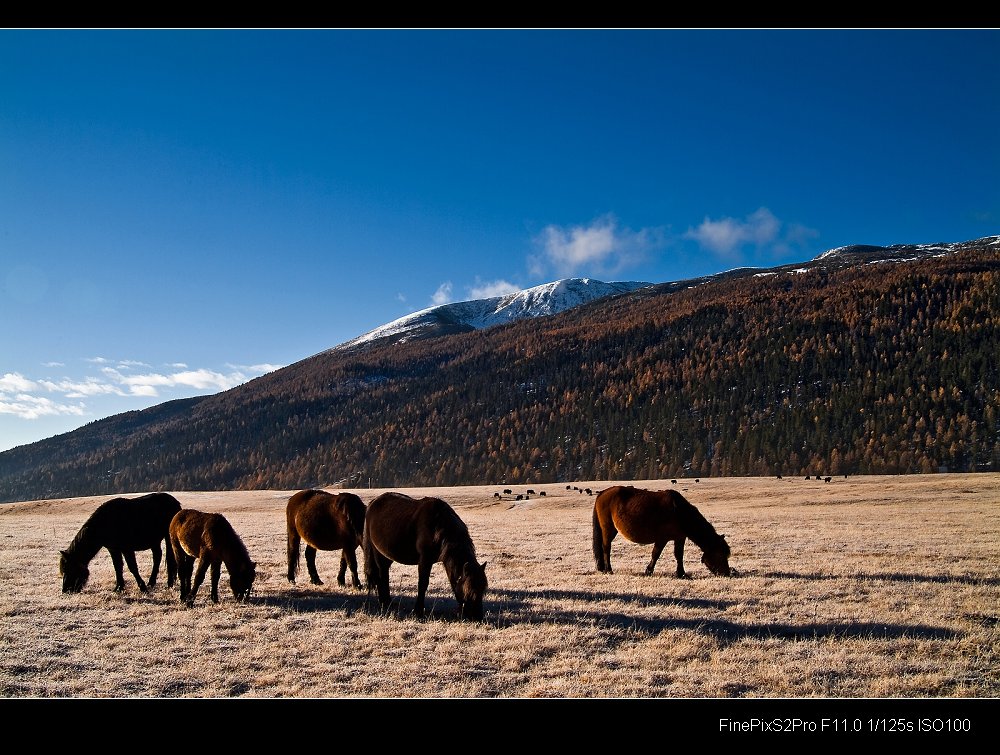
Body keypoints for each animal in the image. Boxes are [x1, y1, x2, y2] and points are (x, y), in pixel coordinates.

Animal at [366, 494, 490, 624]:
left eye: (483, 590)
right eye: (469, 590)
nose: (477, 617)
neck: (437, 526)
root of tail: (373, 503)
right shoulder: (425, 560)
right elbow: (423, 584)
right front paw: (418, 611)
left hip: (388, 555)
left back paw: (388, 601)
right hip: (377, 553)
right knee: (381, 575)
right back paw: (384, 602)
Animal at [588, 484, 732, 580]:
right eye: (720, 555)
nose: (727, 573)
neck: (679, 512)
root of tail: (602, 493)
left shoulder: (680, 538)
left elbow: (679, 555)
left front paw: (681, 573)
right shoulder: (662, 539)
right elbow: (655, 554)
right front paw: (648, 571)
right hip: (608, 529)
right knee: (606, 547)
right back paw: (608, 570)